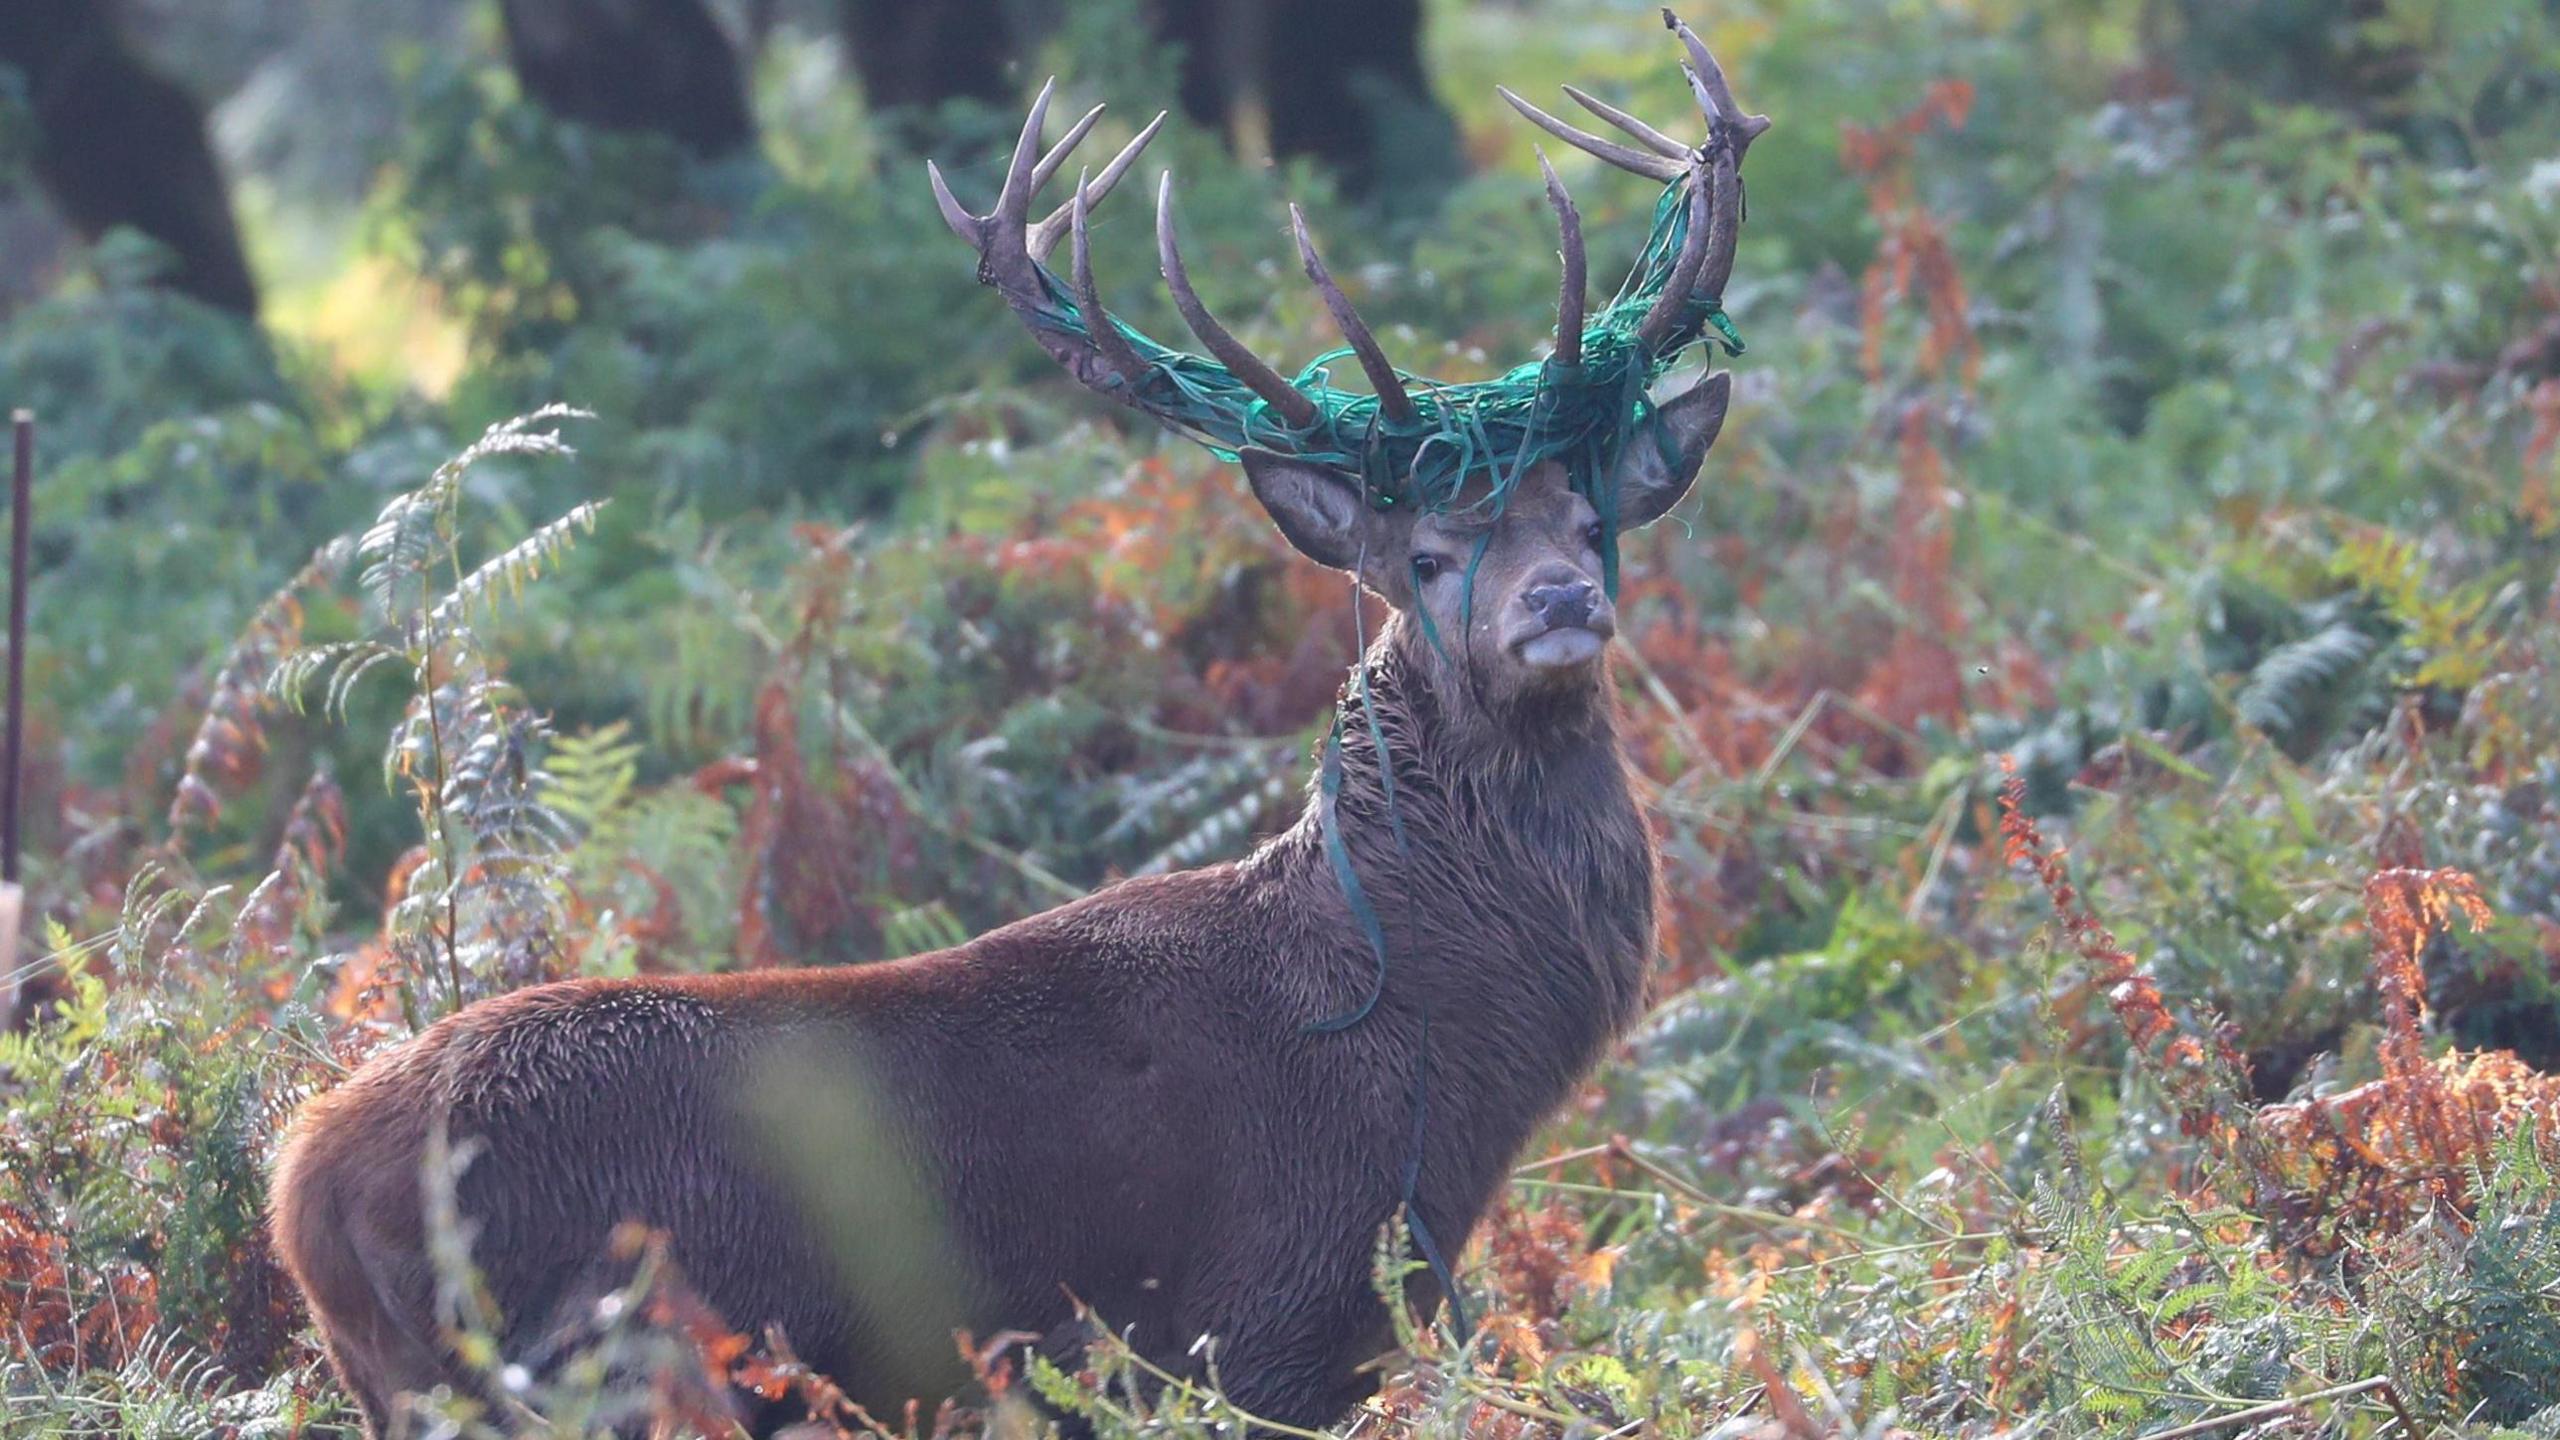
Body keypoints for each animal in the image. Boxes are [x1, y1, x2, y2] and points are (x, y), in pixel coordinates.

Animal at [270, 14, 1771, 1434]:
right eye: (1425, 554)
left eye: (1588, 519)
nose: (1562, 599)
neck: (1425, 1056)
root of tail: (303, 1190)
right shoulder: (1261, 1320)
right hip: (595, 1365)